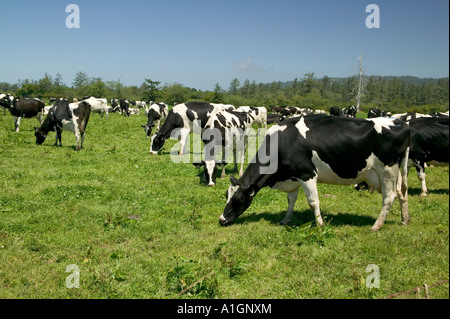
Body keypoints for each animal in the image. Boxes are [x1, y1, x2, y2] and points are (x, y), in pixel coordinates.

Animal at [219, 114, 412, 231]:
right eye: (226, 195)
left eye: (237, 199)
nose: (221, 219)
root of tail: (401, 124)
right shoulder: (294, 177)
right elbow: (291, 200)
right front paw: (286, 220)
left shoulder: (307, 174)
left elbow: (313, 202)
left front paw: (320, 224)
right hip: (396, 172)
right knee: (402, 192)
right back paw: (404, 219)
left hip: (387, 170)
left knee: (389, 197)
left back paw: (376, 225)